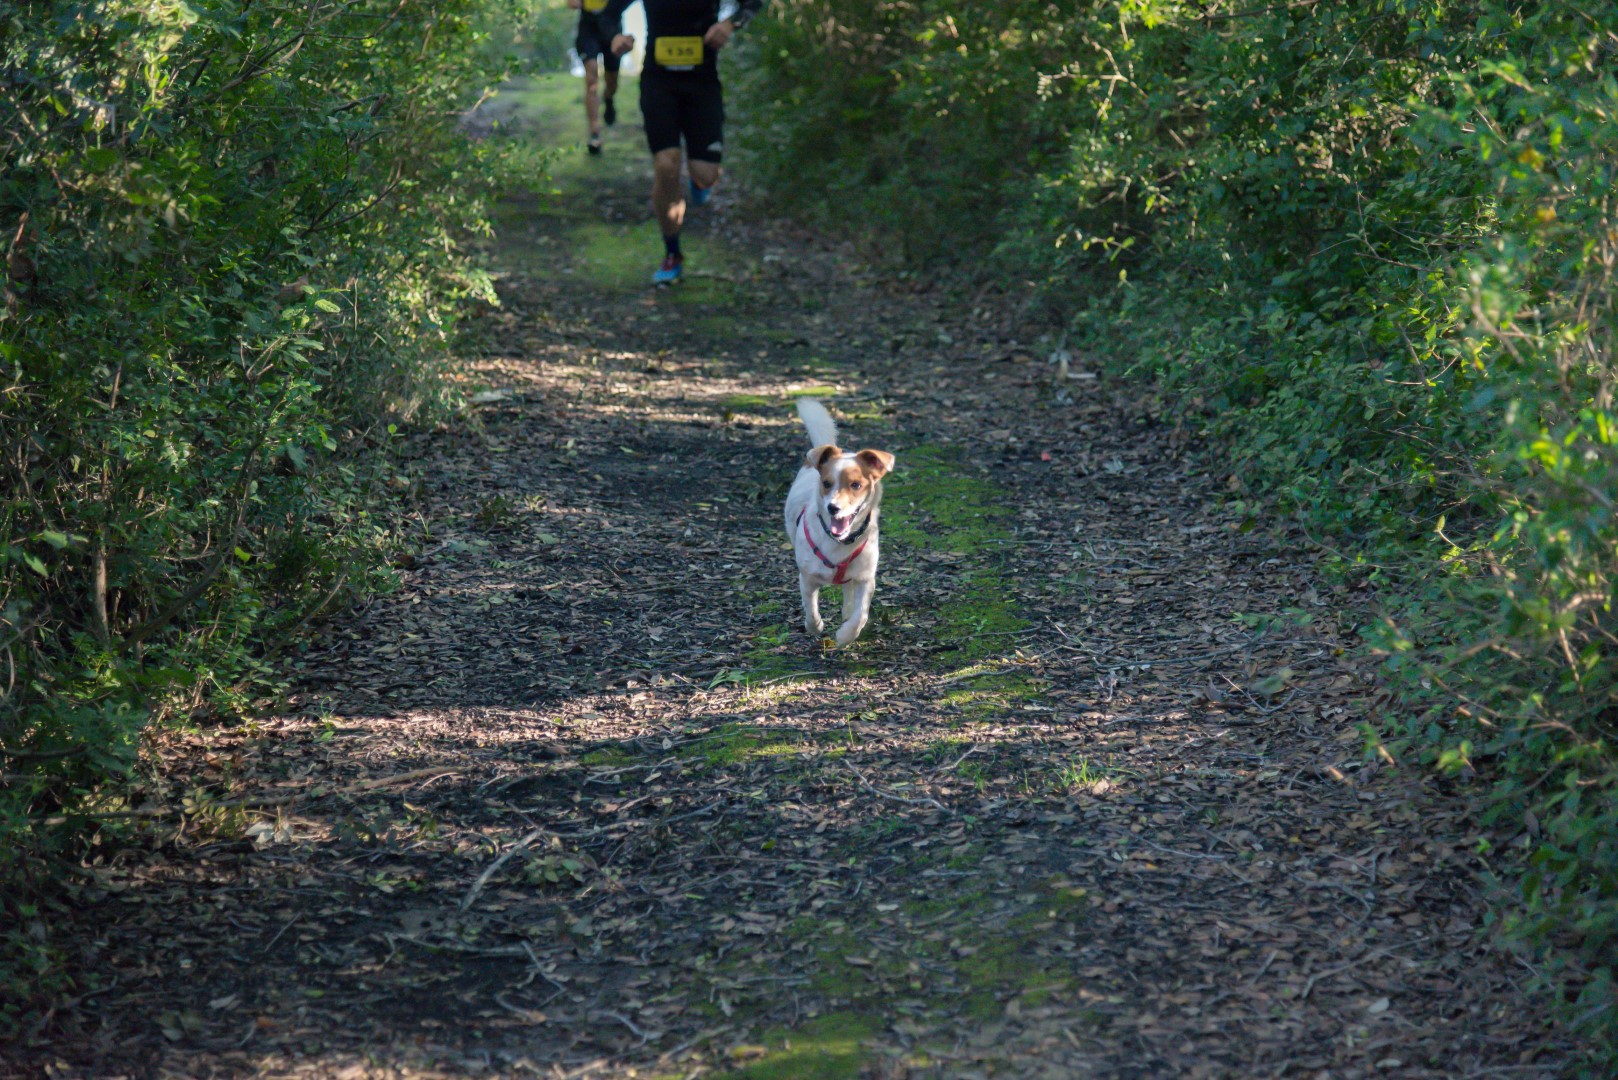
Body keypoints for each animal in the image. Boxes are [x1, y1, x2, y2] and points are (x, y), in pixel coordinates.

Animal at [784, 398, 895, 646]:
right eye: (826, 483)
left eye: (856, 485)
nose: (833, 508)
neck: (840, 542)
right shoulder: (807, 577)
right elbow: (811, 609)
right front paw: (815, 626)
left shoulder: (866, 578)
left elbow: (860, 614)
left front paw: (845, 635)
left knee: (848, 591)